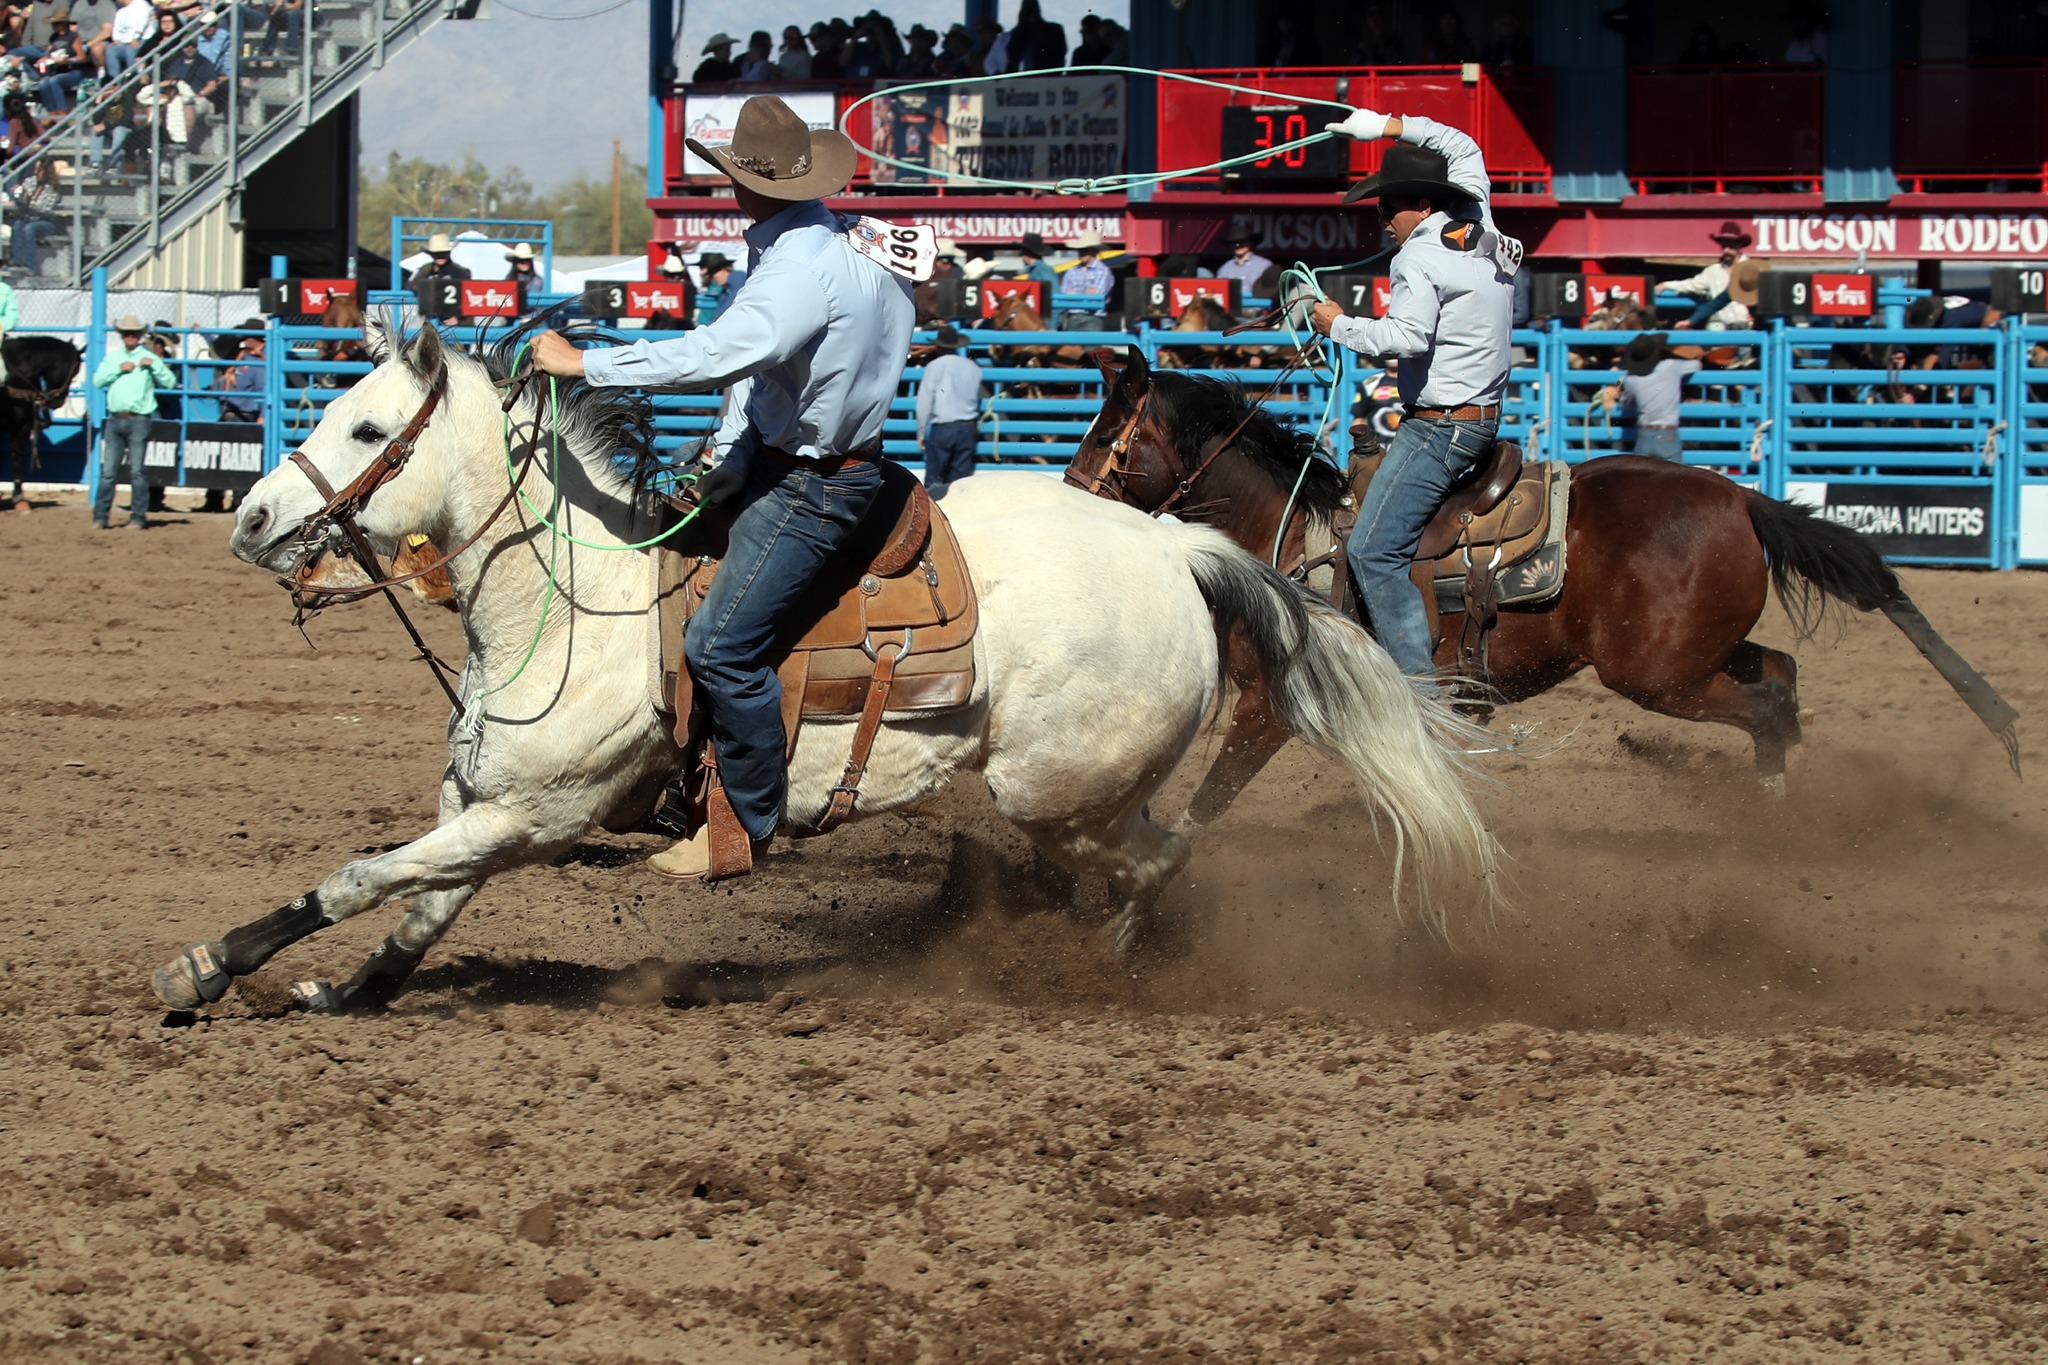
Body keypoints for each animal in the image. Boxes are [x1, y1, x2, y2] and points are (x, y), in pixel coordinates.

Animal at [151, 323, 1499, 1015]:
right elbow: (413, 908)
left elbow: (356, 877)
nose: (253, 519)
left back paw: (1095, 968)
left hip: (1057, 790)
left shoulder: (531, 818)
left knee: (1154, 856)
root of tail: (1172, 546)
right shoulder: (481, 810)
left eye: (370, 429)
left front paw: (210, 963)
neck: (575, 608)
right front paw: (346, 994)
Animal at [1073, 351, 2015, 822]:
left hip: (1658, 673)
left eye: (1107, 431)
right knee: (1780, 676)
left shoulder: (1272, 701)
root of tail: (1741, 498)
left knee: (1768, 704)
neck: (1288, 532)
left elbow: (1207, 803)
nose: (1071, 492)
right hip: (1699, 648)